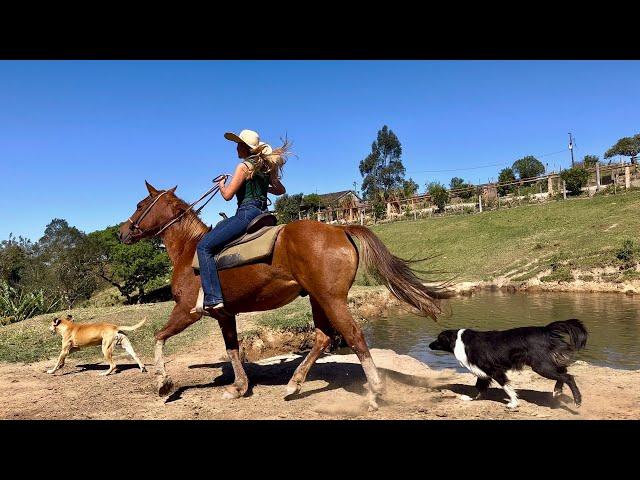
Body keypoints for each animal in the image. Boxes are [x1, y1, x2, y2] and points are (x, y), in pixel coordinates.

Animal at [121, 180, 450, 408]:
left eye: (139, 204)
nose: (123, 232)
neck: (190, 249)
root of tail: (339, 229)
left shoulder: (187, 310)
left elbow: (159, 337)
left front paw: (163, 384)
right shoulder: (225, 314)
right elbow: (232, 349)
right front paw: (239, 387)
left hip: (332, 300)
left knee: (354, 336)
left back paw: (374, 394)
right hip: (318, 299)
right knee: (323, 338)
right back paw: (294, 384)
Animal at [428, 318, 588, 408]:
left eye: (439, 338)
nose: (429, 345)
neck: (460, 341)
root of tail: (545, 330)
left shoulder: (495, 370)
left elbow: (506, 387)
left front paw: (513, 403)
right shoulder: (483, 372)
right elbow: (479, 387)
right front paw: (471, 399)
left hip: (541, 366)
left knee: (568, 377)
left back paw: (577, 400)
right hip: (547, 363)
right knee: (564, 371)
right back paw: (557, 391)